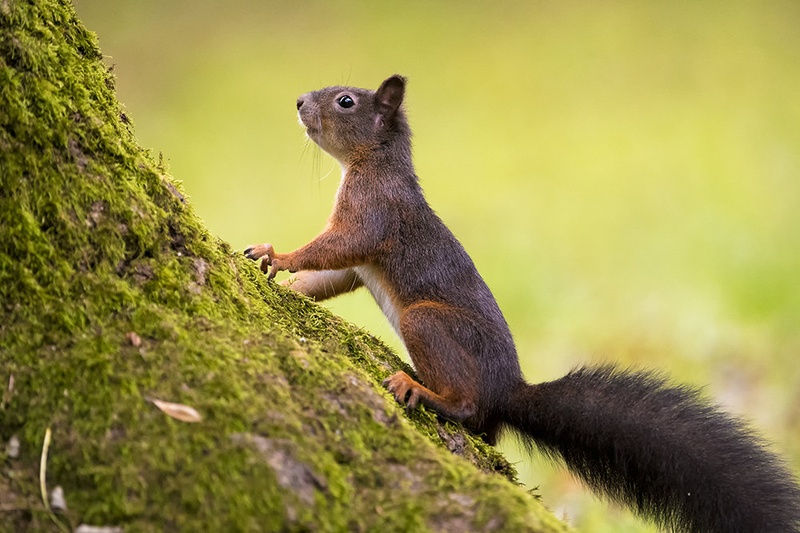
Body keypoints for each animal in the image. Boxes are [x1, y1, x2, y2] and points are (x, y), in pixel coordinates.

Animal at [245, 75, 800, 532]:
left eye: (346, 101)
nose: (299, 101)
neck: (371, 163)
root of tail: (507, 390)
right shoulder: (359, 261)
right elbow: (331, 277)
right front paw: (281, 277)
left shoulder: (374, 214)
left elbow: (334, 247)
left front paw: (281, 254)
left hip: (428, 324)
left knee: (466, 406)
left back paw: (419, 389)